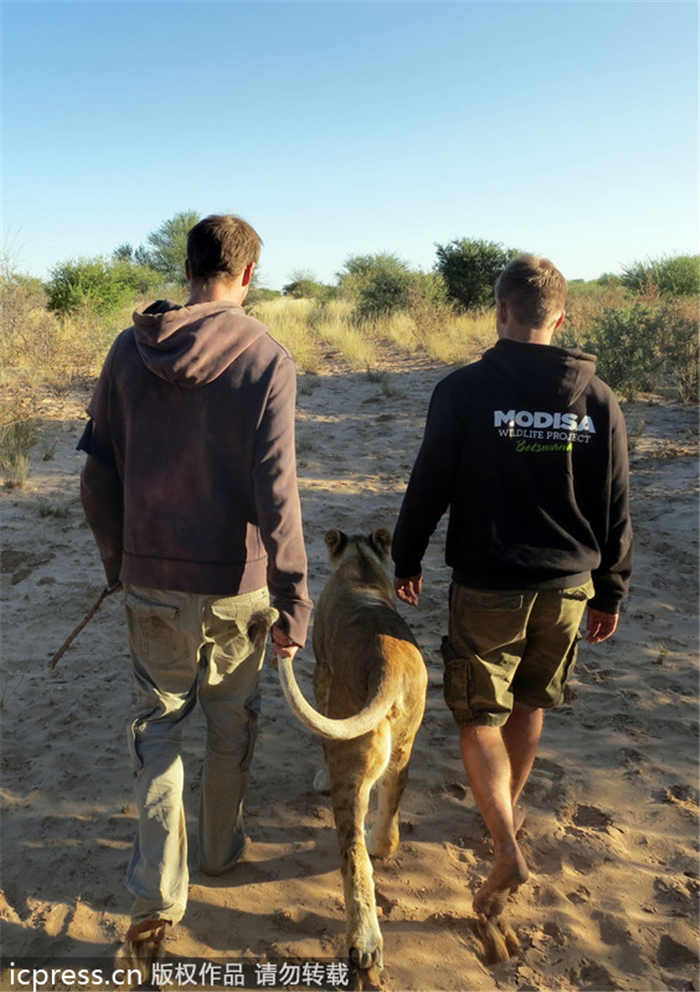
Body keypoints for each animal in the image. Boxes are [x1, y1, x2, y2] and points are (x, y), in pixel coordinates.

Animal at [277, 528, 427, 988]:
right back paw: (383, 844)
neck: (359, 565)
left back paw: (364, 946)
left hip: (350, 759)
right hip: (404, 743)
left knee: (353, 856)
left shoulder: (321, 672)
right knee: (391, 806)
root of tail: (389, 668)